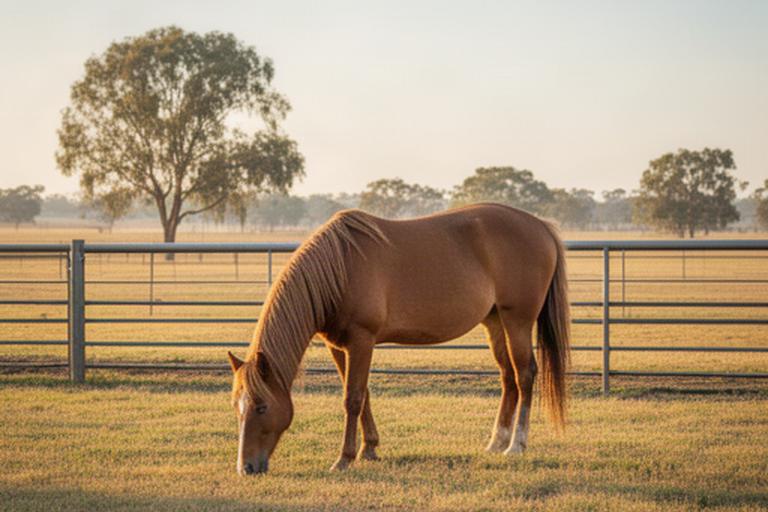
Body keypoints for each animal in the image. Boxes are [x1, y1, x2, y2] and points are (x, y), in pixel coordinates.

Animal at [226, 203, 570, 475]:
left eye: (261, 407)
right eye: (236, 406)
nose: (246, 468)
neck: (340, 269)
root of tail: (541, 225)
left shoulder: (361, 341)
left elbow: (352, 398)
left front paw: (344, 458)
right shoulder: (339, 346)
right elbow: (362, 394)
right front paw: (370, 449)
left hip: (517, 320)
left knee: (524, 375)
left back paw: (517, 445)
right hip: (495, 321)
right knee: (507, 376)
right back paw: (496, 442)